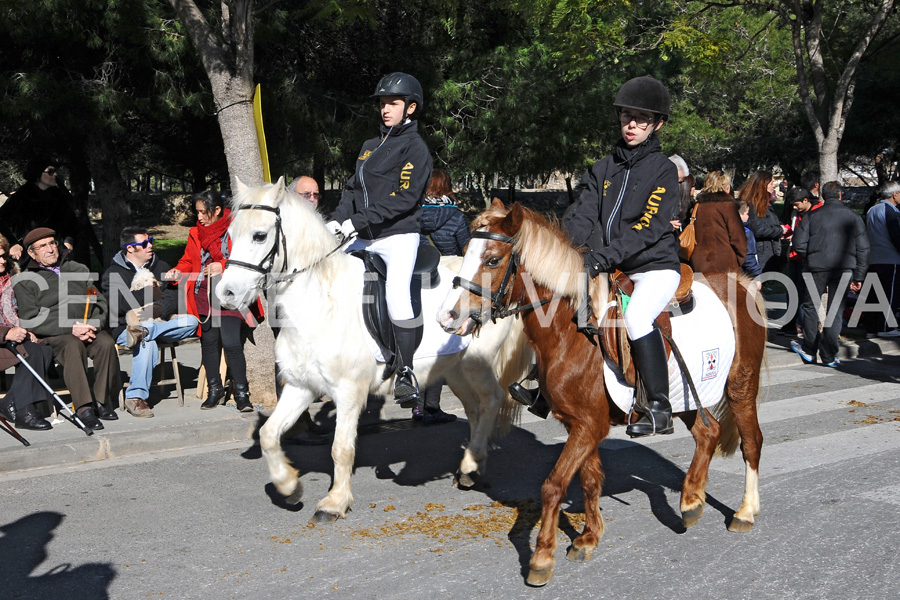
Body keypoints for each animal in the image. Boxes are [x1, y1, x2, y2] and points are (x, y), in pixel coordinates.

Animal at [215, 179, 532, 524]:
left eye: (260, 235)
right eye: (229, 235)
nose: (225, 294)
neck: (319, 303)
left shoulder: (349, 391)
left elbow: (341, 448)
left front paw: (334, 502)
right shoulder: (301, 385)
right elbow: (269, 434)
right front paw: (289, 485)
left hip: (476, 366)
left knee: (491, 401)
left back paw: (472, 468)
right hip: (454, 370)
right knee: (475, 409)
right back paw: (471, 466)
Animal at [440, 200, 764, 584]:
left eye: (491, 260)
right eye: (464, 253)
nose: (448, 316)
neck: (573, 331)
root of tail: (741, 284)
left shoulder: (588, 426)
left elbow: (553, 485)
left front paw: (541, 558)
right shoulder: (581, 423)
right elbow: (590, 480)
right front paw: (588, 538)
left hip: (741, 386)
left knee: (751, 443)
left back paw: (745, 511)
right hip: (683, 395)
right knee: (708, 432)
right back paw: (691, 500)